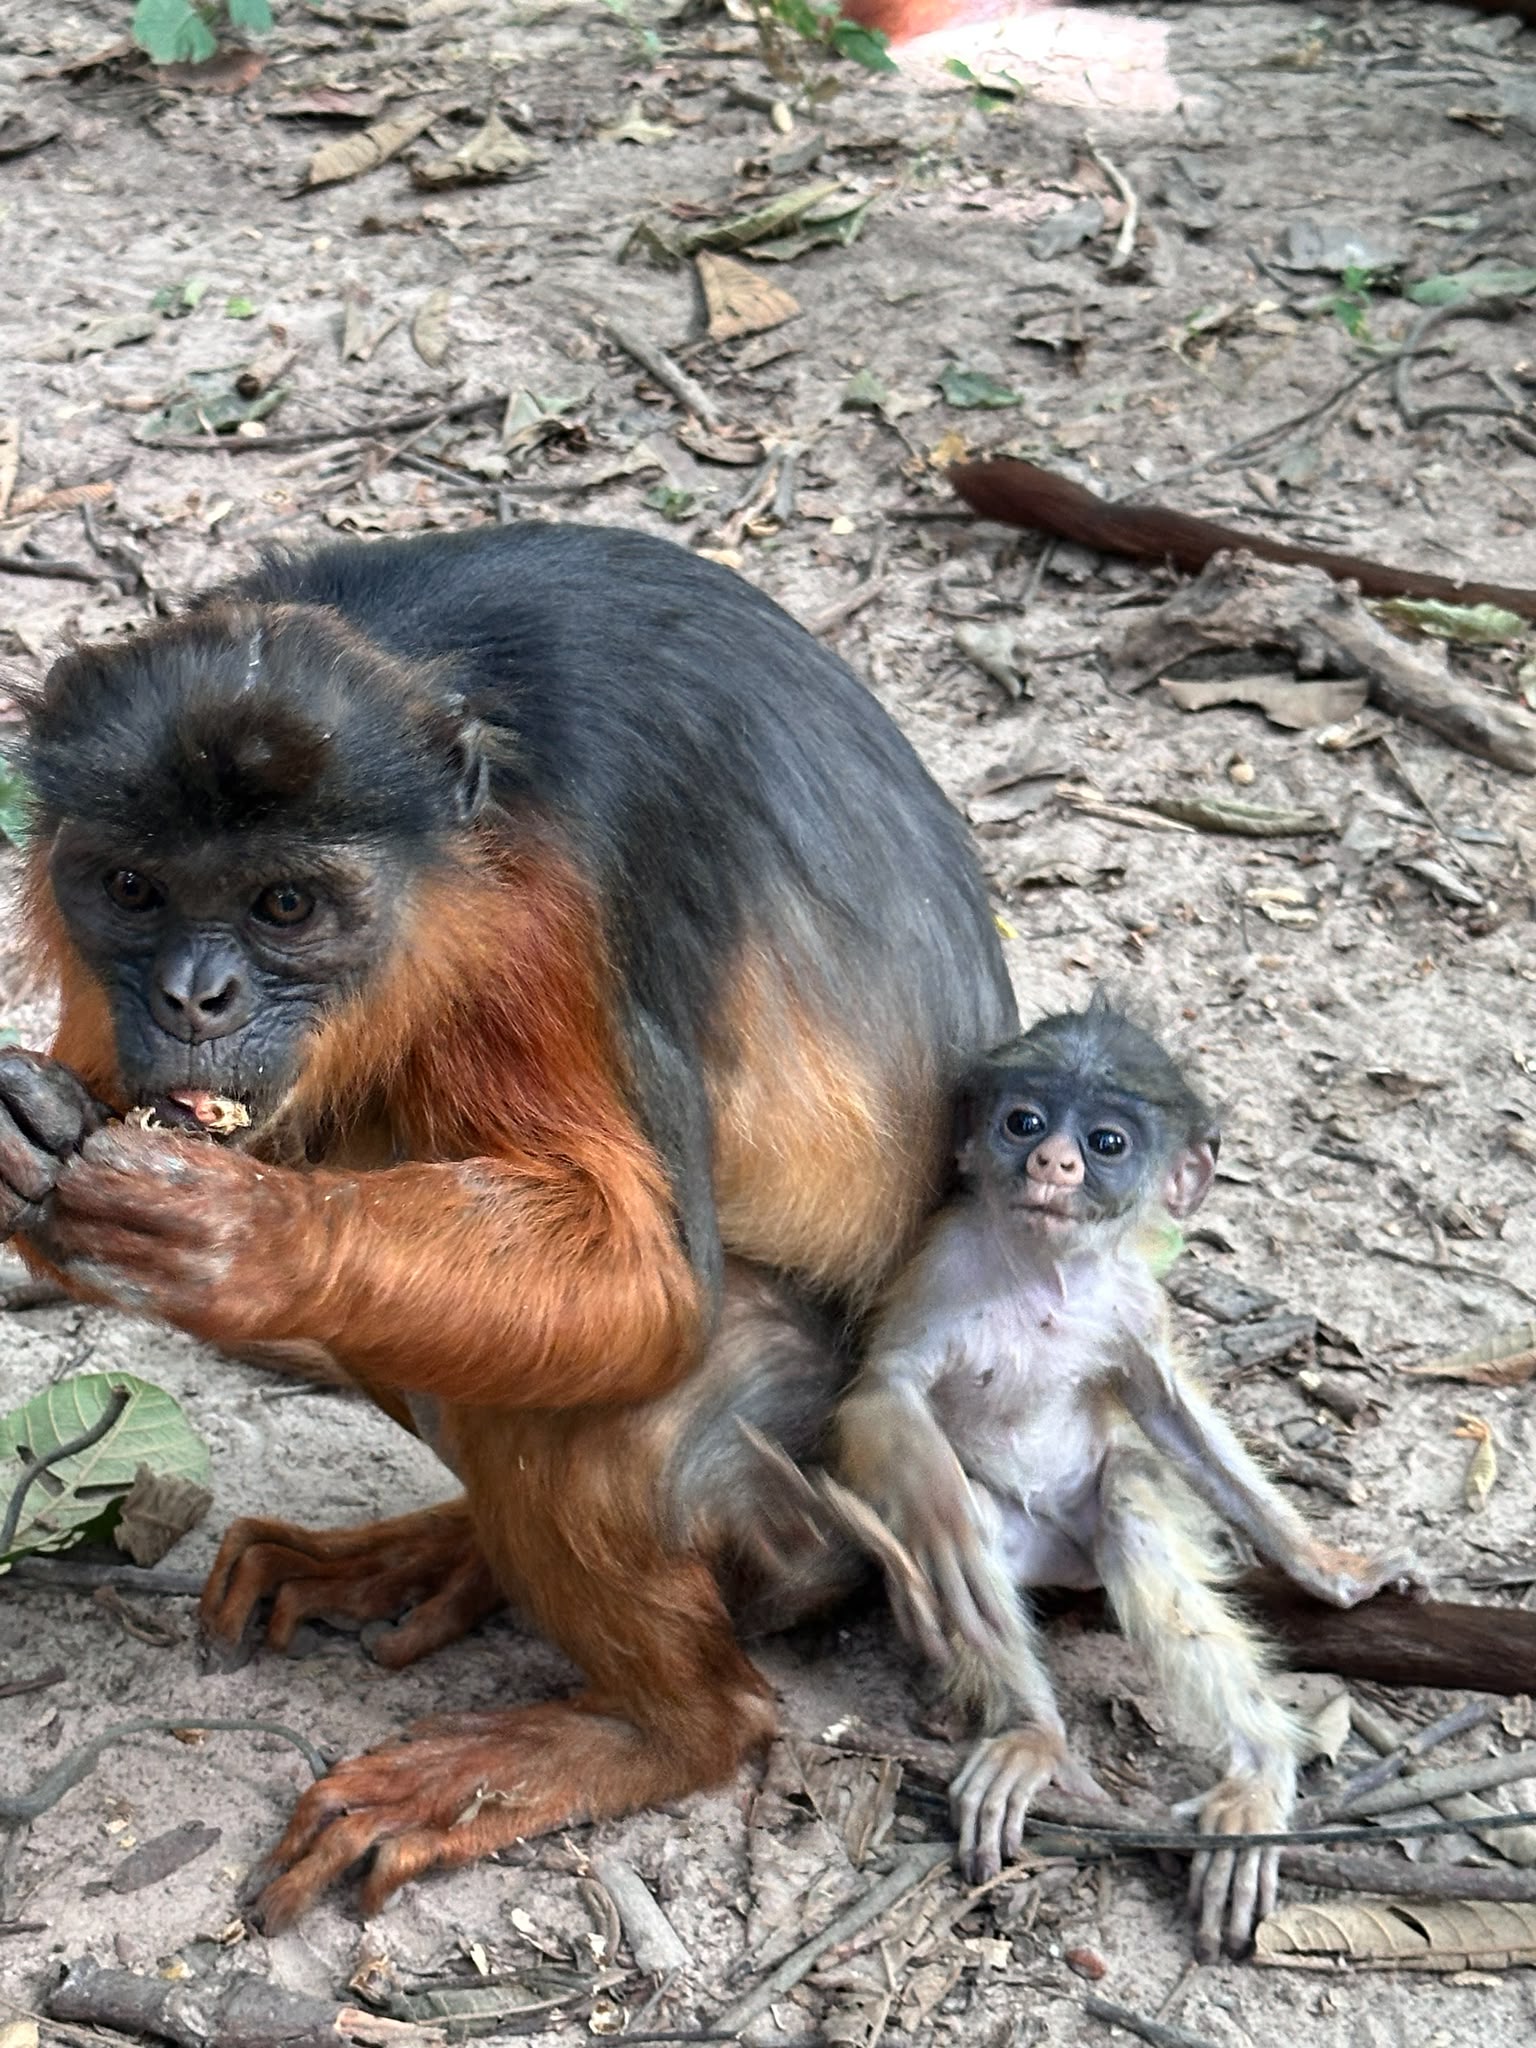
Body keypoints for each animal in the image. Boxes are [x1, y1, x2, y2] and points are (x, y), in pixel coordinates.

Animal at [0, 519, 1018, 1928]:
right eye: (135, 889)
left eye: (283, 907)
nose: (193, 997)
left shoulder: (545, 898)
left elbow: (650, 1288)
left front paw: (247, 1237)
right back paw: (456, 1555)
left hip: (803, 1493)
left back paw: (661, 1728)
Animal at [826, 1000, 1419, 1959]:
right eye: (1025, 1122)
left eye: (1106, 1141)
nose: (1053, 1162)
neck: (1045, 1277)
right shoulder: (943, 1262)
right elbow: (883, 1396)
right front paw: (936, 1506)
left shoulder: (1132, 1299)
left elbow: (1167, 1409)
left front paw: (1334, 1572)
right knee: (978, 1549)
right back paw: (1032, 1731)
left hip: (1095, 1519)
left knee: (1134, 1504)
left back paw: (1258, 1771)